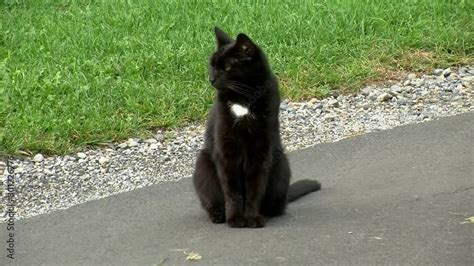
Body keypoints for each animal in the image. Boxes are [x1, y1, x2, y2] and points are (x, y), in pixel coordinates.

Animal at [193, 27, 322, 228]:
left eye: (227, 68)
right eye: (212, 65)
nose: (211, 78)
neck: (244, 99)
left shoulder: (260, 151)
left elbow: (255, 190)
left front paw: (252, 218)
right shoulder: (227, 150)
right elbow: (233, 192)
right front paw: (235, 219)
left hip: (280, 166)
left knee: (275, 206)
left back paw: (267, 213)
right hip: (203, 166)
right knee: (212, 200)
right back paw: (219, 215)